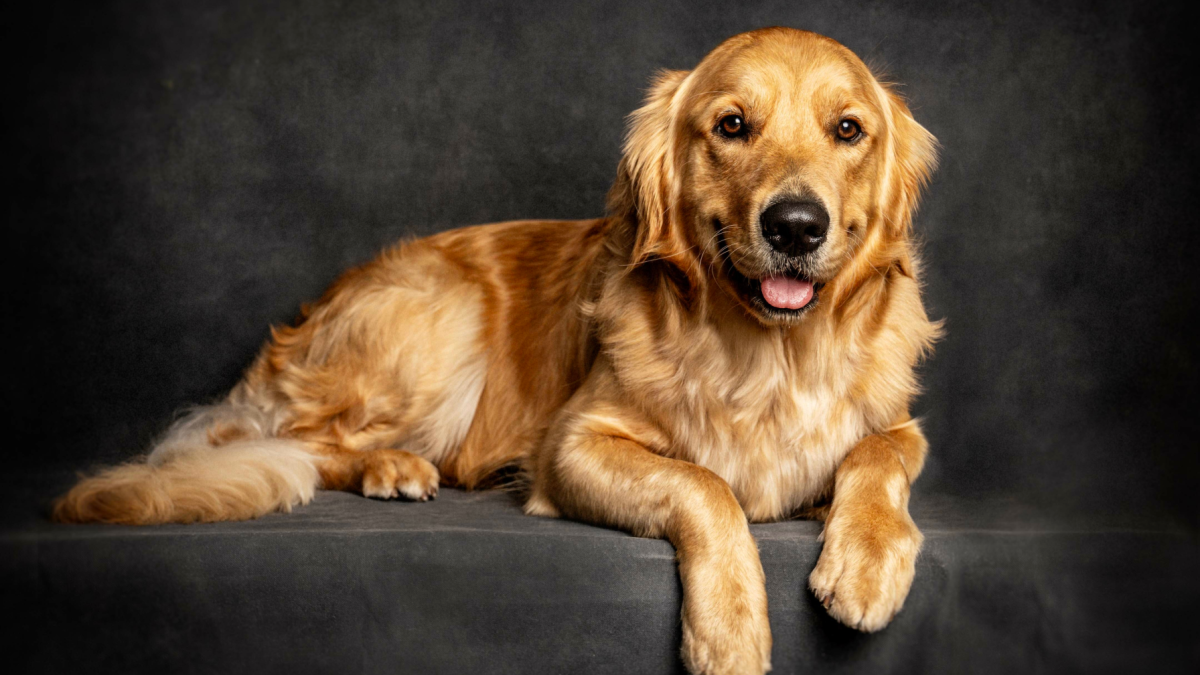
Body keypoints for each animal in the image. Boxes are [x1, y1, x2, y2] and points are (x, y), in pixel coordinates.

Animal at [54, 27, 936, 672]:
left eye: (848, 129)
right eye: (731, 126)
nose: (796, 225)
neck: (771, 357)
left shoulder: (896, 425)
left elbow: (879, 454)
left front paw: (868, 560)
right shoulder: (571, 446)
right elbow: (704, 484)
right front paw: (731, 631)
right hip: (444, 324)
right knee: (299, 440)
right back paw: (393, 467)